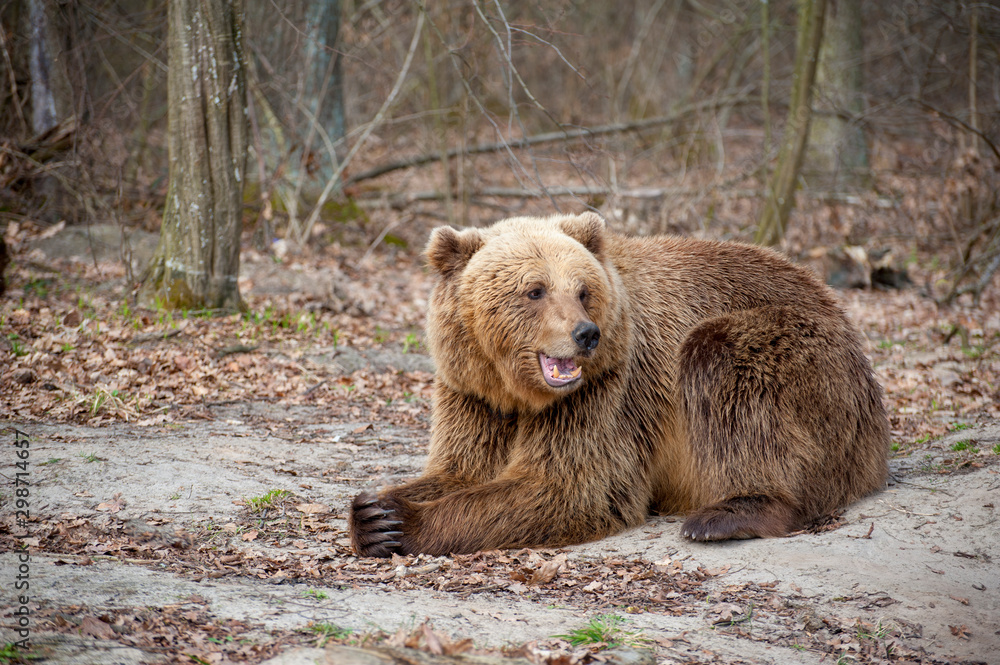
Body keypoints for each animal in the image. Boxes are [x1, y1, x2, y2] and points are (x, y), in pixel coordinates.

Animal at [349, 212, 890, 557]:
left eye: (582, 290)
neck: (517, 390)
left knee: (727, 370)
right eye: (535, 290)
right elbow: (459, 469)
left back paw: (726, 515)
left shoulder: (606, 392)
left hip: (805, 360)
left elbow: (567, 486)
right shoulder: (472, 394)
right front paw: (375, 514)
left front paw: (408, 525)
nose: (585, 334)